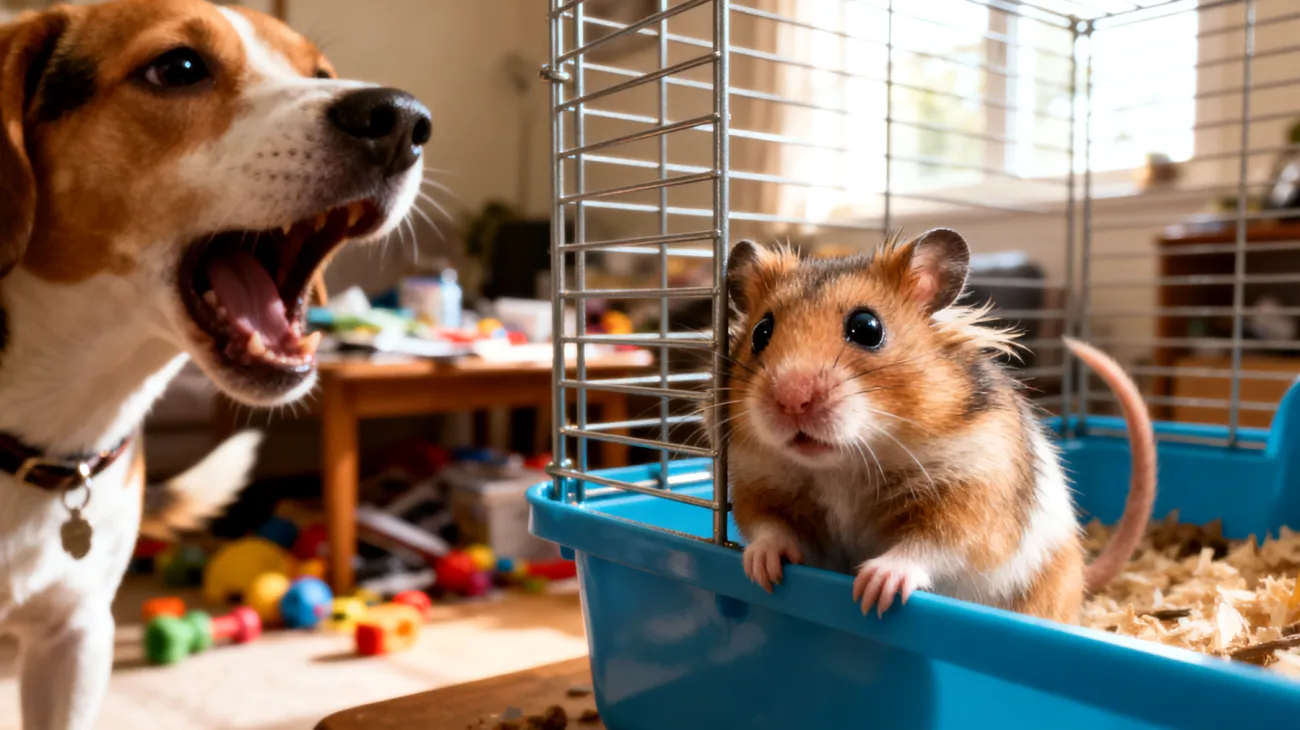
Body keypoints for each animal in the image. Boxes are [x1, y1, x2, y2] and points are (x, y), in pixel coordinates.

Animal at [718, 228, 1156, 623]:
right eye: (761, 332)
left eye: (867, 328)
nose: (791, 399)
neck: (844, 466)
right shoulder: (757, 483)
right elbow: (767, 526)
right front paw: (761, 570)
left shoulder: (974, 494)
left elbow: (932, 544)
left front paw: (874, 589)